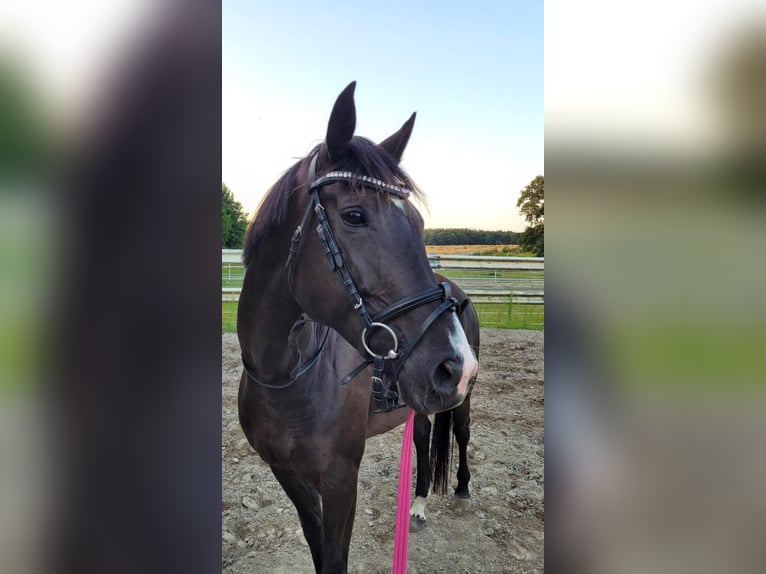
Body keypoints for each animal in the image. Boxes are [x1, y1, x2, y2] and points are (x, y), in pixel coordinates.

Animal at [240, 83, 480, 572]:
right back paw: (417, 505)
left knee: (460, 435)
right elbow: (317, 547)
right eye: (354, 215)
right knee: (424, 437)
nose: (456, 365)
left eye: (418, 223)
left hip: (461, 402)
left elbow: (336, 557)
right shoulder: (288, 475)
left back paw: (462, 489)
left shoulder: (340, 479)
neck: (284, 379)